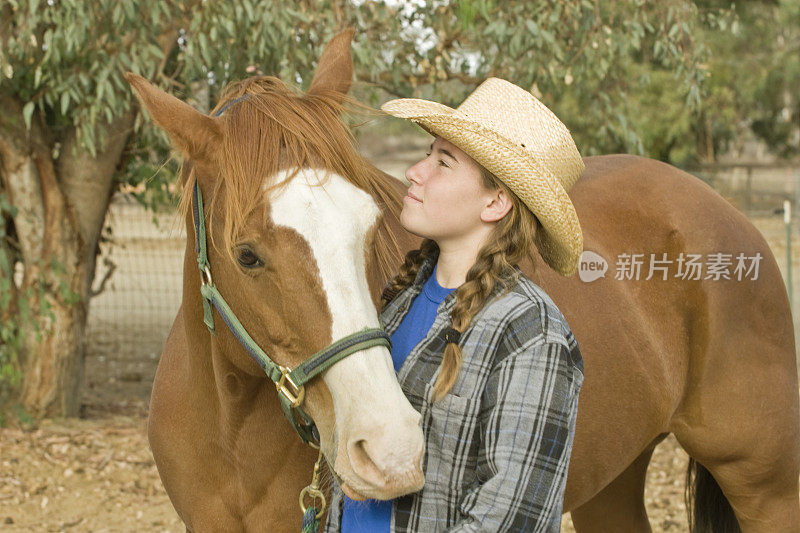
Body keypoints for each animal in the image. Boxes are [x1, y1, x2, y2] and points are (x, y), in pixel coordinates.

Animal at [128, 30, 796, 532]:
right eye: (247, 255)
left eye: (370, 228)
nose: (393, 450)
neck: (231, 431)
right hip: (615, 475)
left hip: (764, 482)